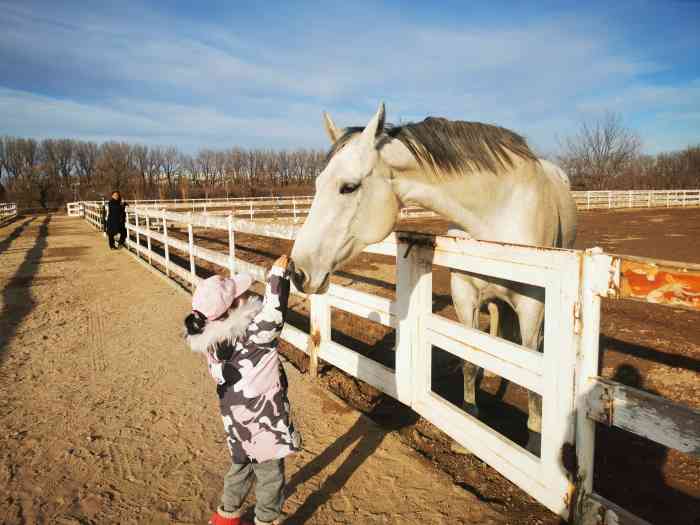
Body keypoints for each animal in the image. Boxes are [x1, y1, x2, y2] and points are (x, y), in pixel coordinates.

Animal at [290, 102, 577, 454]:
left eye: (348, 186)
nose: (297, 271)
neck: (498, 214)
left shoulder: (532, 307)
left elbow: (536, 381)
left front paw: (535, 442)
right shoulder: (464, 295)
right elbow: (469, 358)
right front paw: (468, 426)